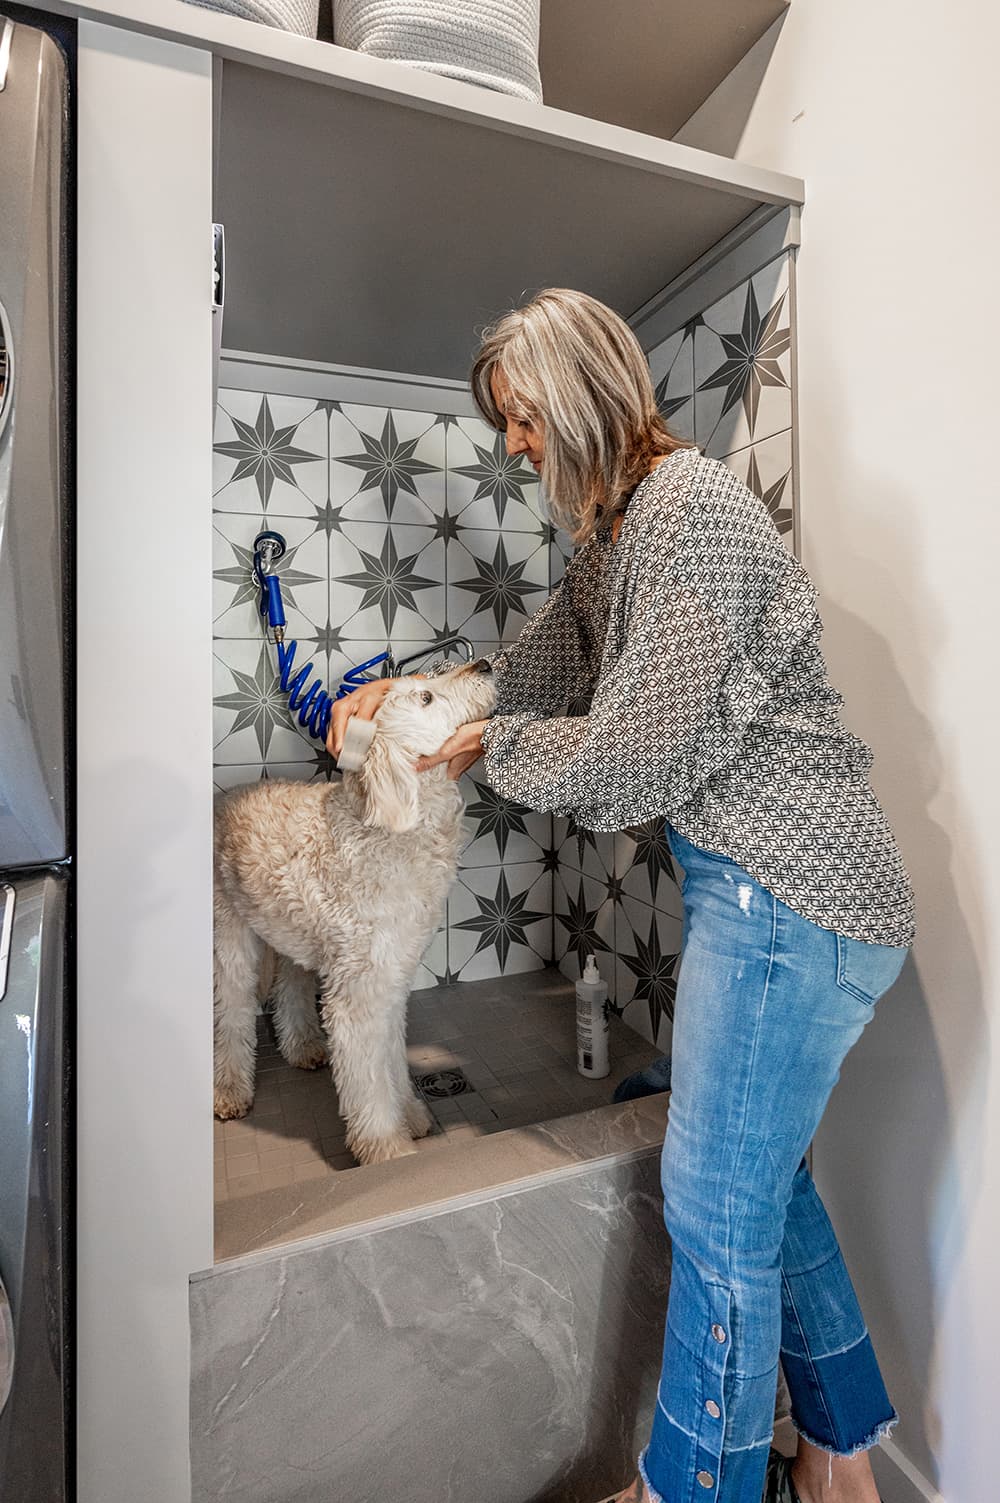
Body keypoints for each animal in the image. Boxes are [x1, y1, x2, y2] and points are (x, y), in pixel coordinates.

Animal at [212, 664, 493, 1166]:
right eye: (426, 697)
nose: (484, 665)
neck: (391, 829)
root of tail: (230, 795)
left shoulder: (391, 979)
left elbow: (392, 1062)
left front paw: (411, 1116)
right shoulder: (360, 994)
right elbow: (369, 1083)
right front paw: (387, 1151)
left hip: (292, 933)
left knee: (291, 985)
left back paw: (303, 1044)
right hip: (231, 936)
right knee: (232, 1009)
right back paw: (229, 1089)